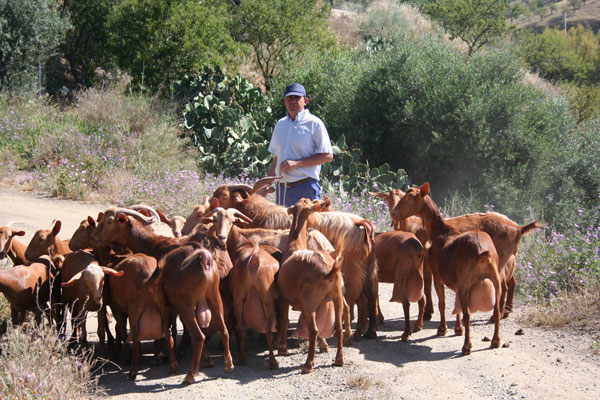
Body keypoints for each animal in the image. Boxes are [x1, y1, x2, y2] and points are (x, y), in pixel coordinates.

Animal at [278, 198, 346, 374]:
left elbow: (284, 321)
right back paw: (339, 359)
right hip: (337, 297)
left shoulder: (283, 298)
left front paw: (282, 348)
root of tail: (329, 270)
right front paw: (324, 346)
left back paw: (308, 364)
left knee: (313, 330)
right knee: (338, 327)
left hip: (310, 302)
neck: (295, 246)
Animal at [394, 181, 502, 354]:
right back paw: (495, 341)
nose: (394, 212)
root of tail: (483, 253)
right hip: (495, 278)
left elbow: (442, 303)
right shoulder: (456, 279)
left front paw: (442, 329)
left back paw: (467, 346)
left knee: (468, 313)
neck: (439, 231)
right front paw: (458, 329)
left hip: (467, 281)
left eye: (409, 198)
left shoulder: (438, 274)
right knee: (497, 310)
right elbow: (456, 305)